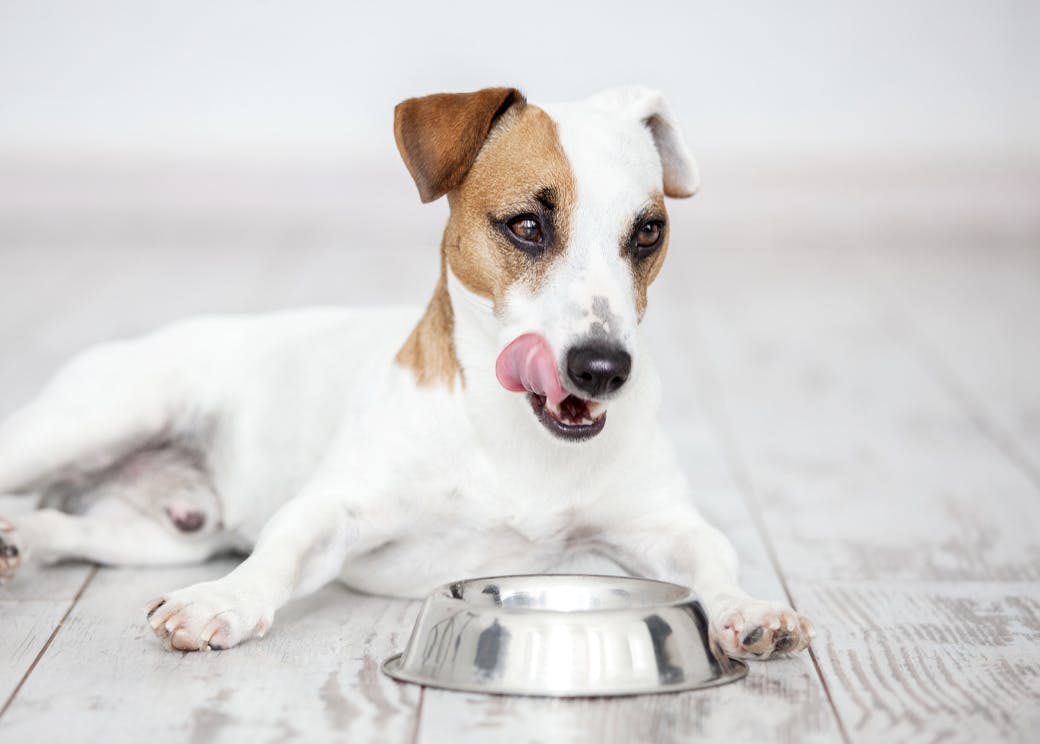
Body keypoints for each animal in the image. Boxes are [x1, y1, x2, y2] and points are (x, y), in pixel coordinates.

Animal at [0, 84, 811, 661]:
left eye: (648, 232)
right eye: (526, 225)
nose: (604, 368)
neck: (512, 435)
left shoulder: (661, 524)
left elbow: (711, 554)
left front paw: (748, 608)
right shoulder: (337, 509)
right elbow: (283, 547)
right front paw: (222, 603)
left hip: (167, 535)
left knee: (64, 526)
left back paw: (17, 540)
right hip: (96, 419)